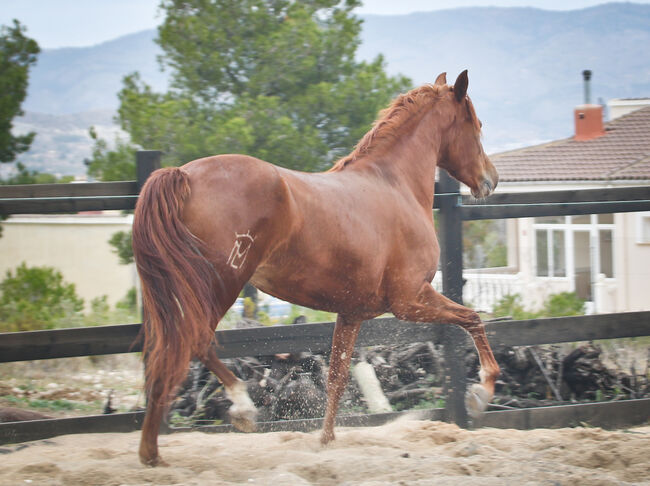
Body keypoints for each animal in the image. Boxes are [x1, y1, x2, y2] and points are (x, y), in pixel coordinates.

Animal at [132, 70, 496, 466]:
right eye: (476, 125)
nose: (491, 180)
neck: (394, 186)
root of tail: (183, 175)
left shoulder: (351, 313)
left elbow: (337, 377)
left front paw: (325, 441)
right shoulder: (410, 299)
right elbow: (472, 318)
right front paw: (481, 393)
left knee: (165, 354)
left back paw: (151, 455)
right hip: (219, 284)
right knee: (194, 341)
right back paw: (241, 408)